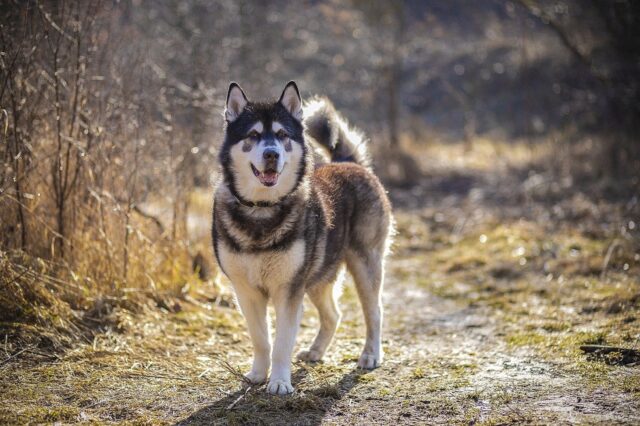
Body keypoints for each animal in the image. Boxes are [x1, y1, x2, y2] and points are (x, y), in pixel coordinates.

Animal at [214, 81, 396, 394]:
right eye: (253, 135)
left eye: (282, 135)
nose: (271, 154)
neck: (262, 210)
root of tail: (348, 162)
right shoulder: (246, 291)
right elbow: (261, 340)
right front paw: (258, 375)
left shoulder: (288, 291)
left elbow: (281, 344)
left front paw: (279, 382)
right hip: (317, 277)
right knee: (333, 315)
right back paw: (316, 351)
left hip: (364, 264)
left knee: (375, 311)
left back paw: (371, 354)